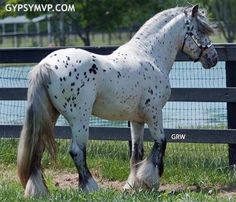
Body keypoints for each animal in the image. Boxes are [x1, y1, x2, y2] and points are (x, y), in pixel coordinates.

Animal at [17, 5, 218, 197]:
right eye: (200, 31)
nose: (213, 58)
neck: (149, 54)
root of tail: (46, 65)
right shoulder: (154, 113)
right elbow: (161, 142)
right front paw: (150, 181)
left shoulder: (137, 119)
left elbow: (137, 152)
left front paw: (133, 185)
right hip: (79, 119)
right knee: (77, 151)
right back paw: (90, 187)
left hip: (50, 115)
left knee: (38, 148)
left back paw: (38, 190)